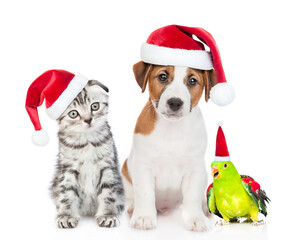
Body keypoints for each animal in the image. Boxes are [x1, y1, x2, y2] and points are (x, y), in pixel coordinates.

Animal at [50, 80, 123, 229]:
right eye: (73, 114)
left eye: (94, 106)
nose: (88, 120)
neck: (87, 141)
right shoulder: (68, 169)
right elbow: (67, 193)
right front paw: (66, 216)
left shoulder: (107, 167)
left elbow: (108, 193)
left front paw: (108, 215)